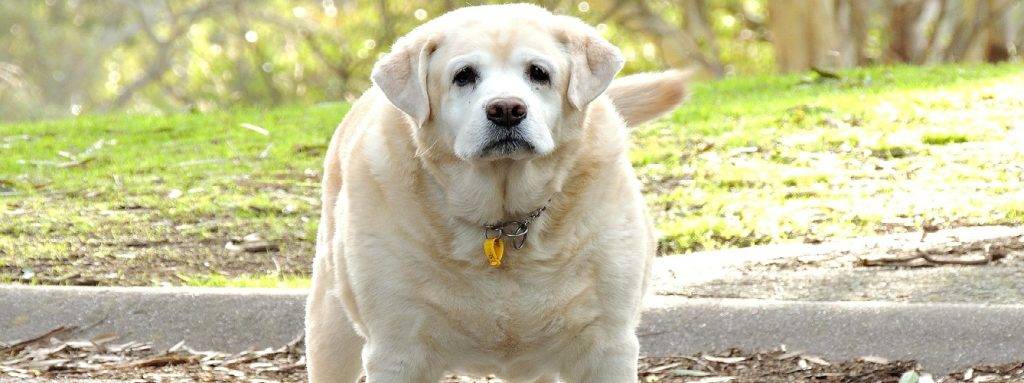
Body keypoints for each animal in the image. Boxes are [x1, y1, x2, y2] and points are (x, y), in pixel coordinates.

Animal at [303, 3, 688, 383]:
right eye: (464, 75)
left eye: (538, 73)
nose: (506, 110)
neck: (505, 220)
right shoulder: (397, 350)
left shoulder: (607, 346)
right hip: (330, 324)